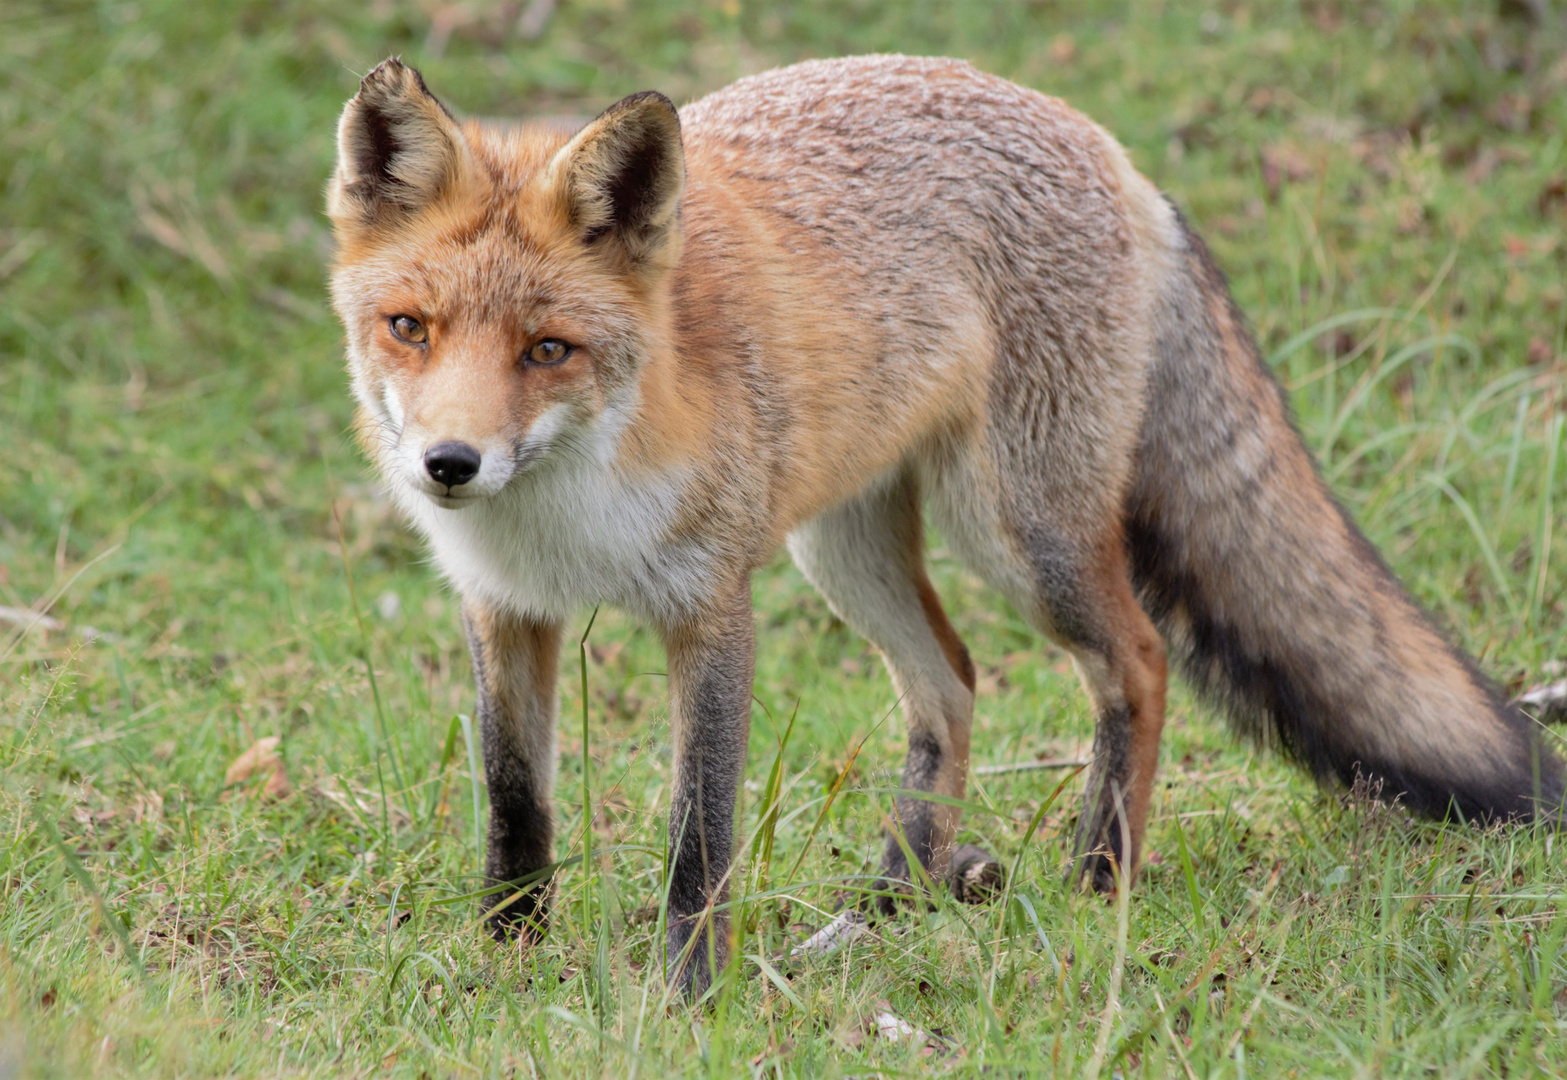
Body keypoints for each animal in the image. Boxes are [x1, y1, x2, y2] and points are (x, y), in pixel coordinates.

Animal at [324, 52, 1560, 996]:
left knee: (1137, 661)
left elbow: (697, 836)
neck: (566, 513)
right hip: (847, 550)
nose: (449, 465)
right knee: (952, 686)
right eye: (410, 327)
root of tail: (1108, 151)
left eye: (548, 349)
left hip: (1017, 537)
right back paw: (892, 898)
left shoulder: (711, 612)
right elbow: (515, 805)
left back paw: (1096, 879)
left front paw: (687, 995)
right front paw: (507, 961)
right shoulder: (504, 609)